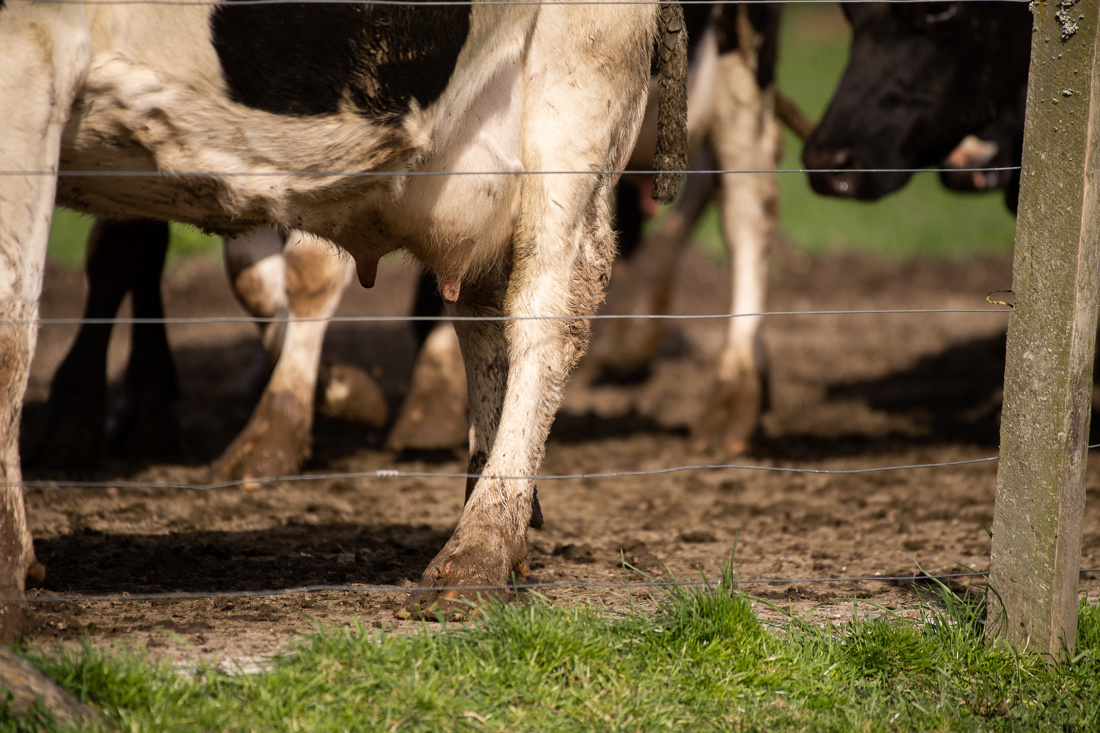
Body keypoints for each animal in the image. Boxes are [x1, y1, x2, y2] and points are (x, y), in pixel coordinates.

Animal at [0, 0, 685, 626]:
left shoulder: (33, 47)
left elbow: (12, 329)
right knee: (486, 310)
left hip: (578, 76)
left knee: (549, 306)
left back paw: (476, 555)